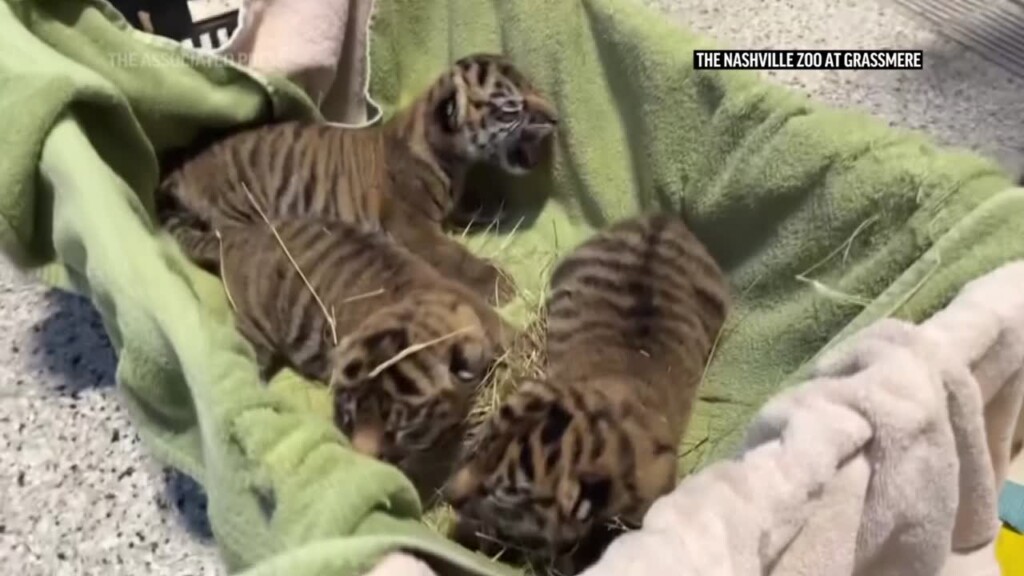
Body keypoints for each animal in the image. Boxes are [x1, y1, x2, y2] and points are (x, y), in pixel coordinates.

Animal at [157, 52, 558, 306]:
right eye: (512, 108)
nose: (555, 118)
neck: (453, 158)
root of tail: (179, 165)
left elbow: (466, 211)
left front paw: (496, 210)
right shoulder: (411, 224)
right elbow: (452, 254)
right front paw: (495, 282)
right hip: (237, 210)